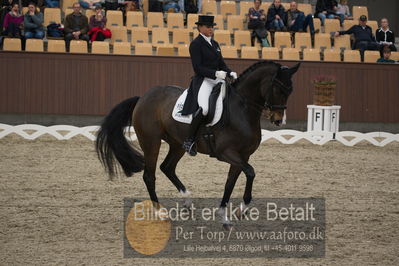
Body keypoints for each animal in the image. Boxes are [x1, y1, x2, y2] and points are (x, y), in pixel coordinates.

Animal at [97, 60, 300, 227]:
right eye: (279, 89)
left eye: (290, 90)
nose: (278, 120)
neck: (242, 110)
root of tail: (143, 98)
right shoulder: (226, 153)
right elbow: (250, 172)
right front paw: (241, 209)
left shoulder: (242, 156)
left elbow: (230, 183)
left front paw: (225, 216)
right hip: (151, 142)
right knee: (149, 175)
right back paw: (161, 212)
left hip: (177, 144)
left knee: (167, 167)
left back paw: (187, 200)